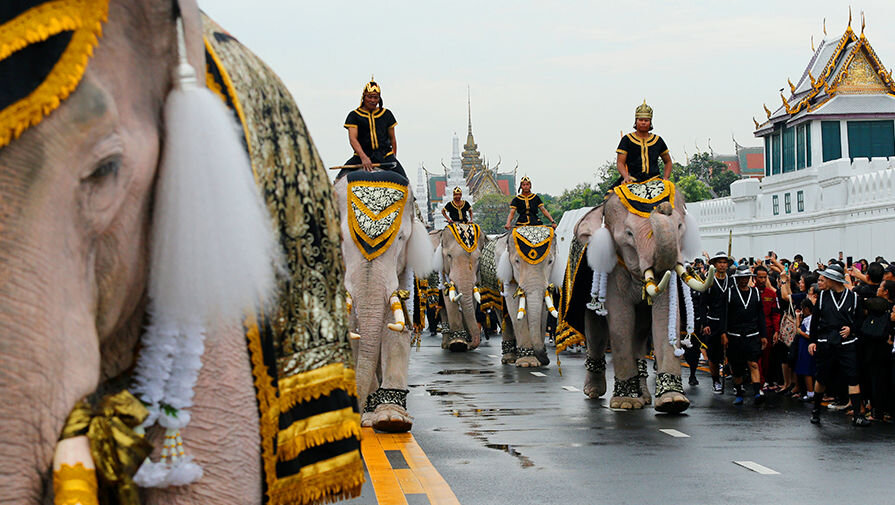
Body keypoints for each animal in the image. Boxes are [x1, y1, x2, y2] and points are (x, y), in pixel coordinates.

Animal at [336, 167, 434, 432]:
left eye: (400, 239)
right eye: (341, 238)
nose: (357, 419)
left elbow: (395, 328)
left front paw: (392, 420)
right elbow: (355, 332)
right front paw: (369, 415)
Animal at [432, 222, 486, 352]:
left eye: (479, 258)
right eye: (449, 256)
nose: (471, 345)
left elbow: (473, 296)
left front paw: (466, 341)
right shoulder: (443, 269)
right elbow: (448, 297)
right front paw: (458, 344)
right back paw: (446, 344)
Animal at [496, 224, 560, 366]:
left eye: (550, 261)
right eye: (517, 261)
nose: (546, 360)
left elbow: (544, 308)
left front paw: (536, 360)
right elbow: (514, 306)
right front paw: (527, 363)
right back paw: (509, 359)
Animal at [576, 179, 712, 412]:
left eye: (680, 226)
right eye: (629, 234)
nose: (662, 207)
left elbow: (664, 316)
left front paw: (673, 402)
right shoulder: (615, 267)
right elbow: (620, 321)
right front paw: (625, 402)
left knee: (639, 333)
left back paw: (645, 397)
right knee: (595, 329)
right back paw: (594, 392)